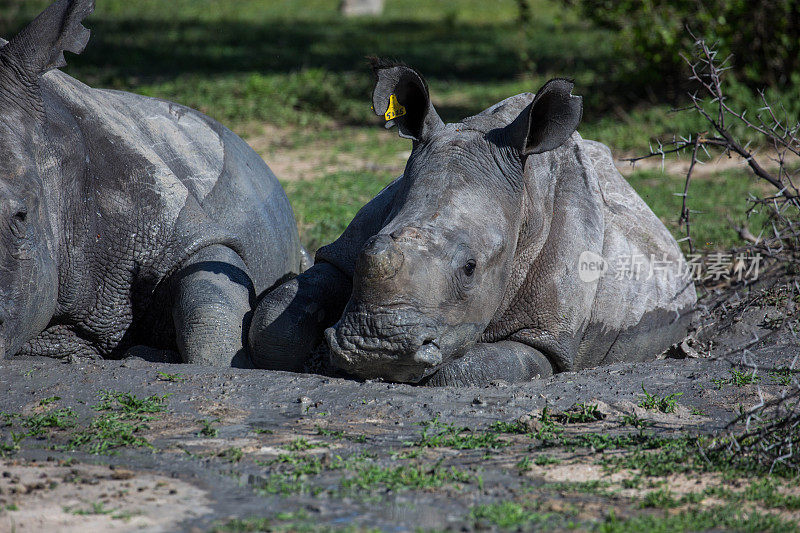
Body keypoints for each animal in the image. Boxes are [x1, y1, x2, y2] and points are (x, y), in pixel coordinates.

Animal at [250, 60, 692, 384]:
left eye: (470, 268)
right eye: (367, 247)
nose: (376, 349)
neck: (525, 196)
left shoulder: (548, 338)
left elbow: (469, 368)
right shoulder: (346, 249)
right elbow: (274, 321)